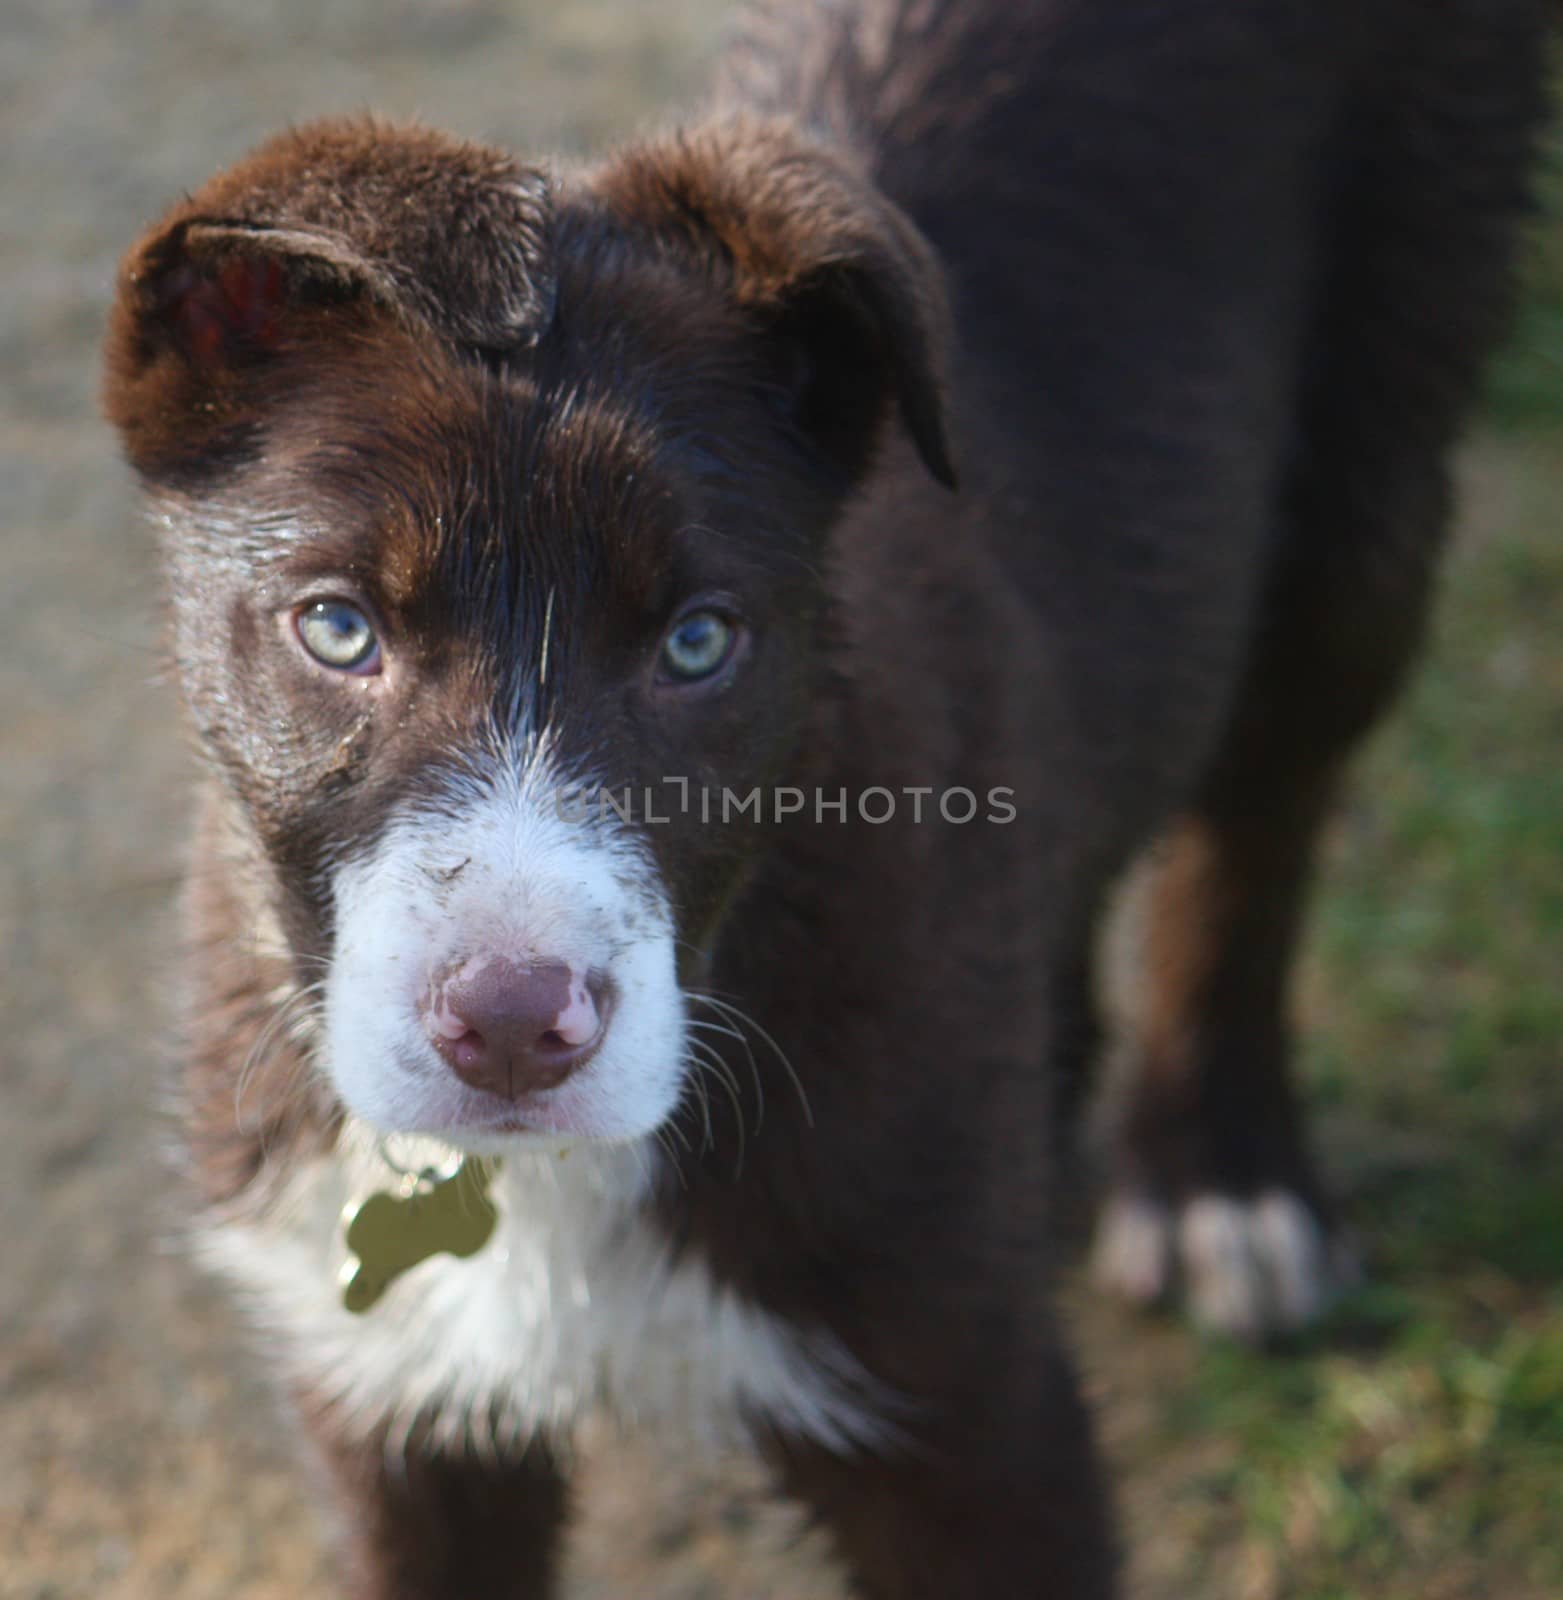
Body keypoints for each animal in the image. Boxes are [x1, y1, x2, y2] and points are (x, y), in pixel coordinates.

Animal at [100, 3, 1548, 1600]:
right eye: (338, 628)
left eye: (698, 643)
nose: (515, 1030)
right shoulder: (395, 1414)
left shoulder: (965, 1419)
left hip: (1374, 441)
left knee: (1264, 815)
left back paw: (1220, 1172)